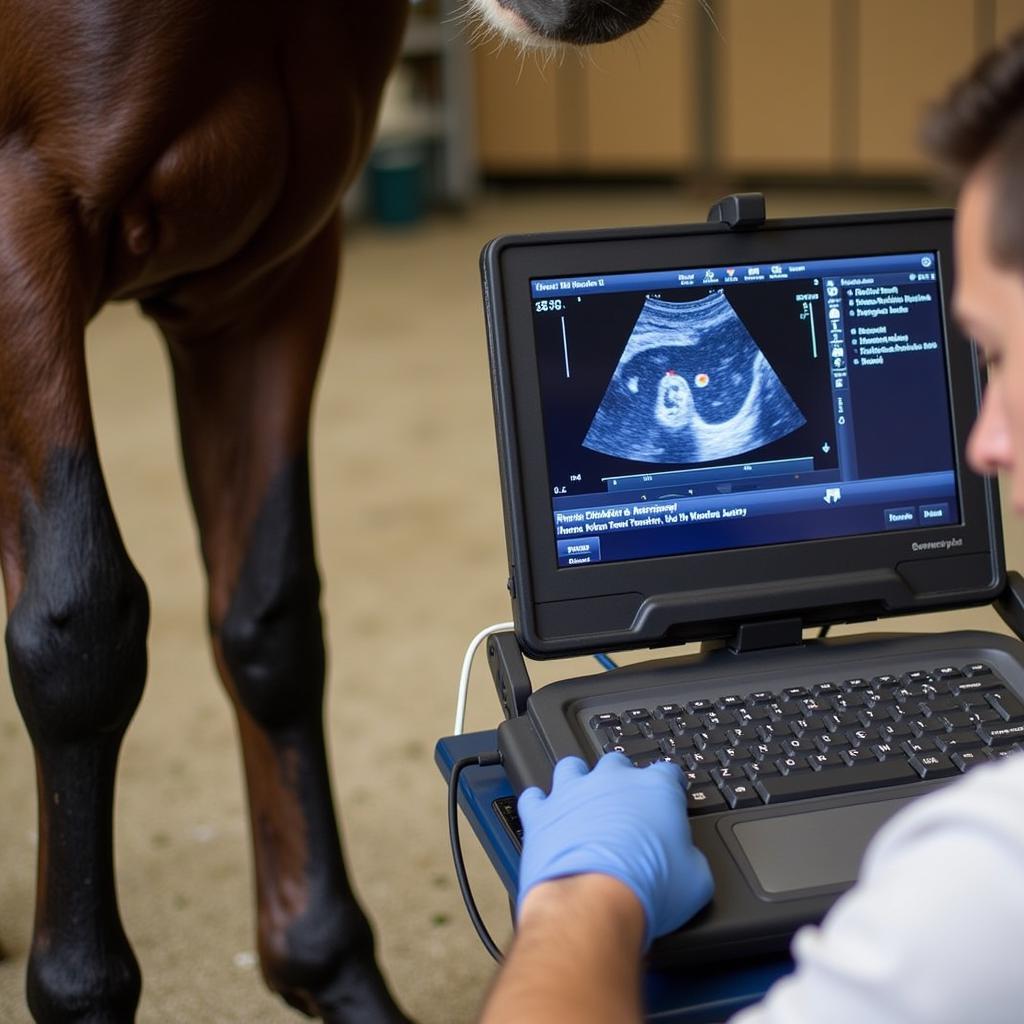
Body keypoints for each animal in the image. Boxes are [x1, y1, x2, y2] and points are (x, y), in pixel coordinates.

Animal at [0, 0, 663, 1019]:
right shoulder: (23, 232)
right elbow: (81, 635)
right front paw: (81, 990)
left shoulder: (265, 281)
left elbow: (269, 625)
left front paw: (327, 968)